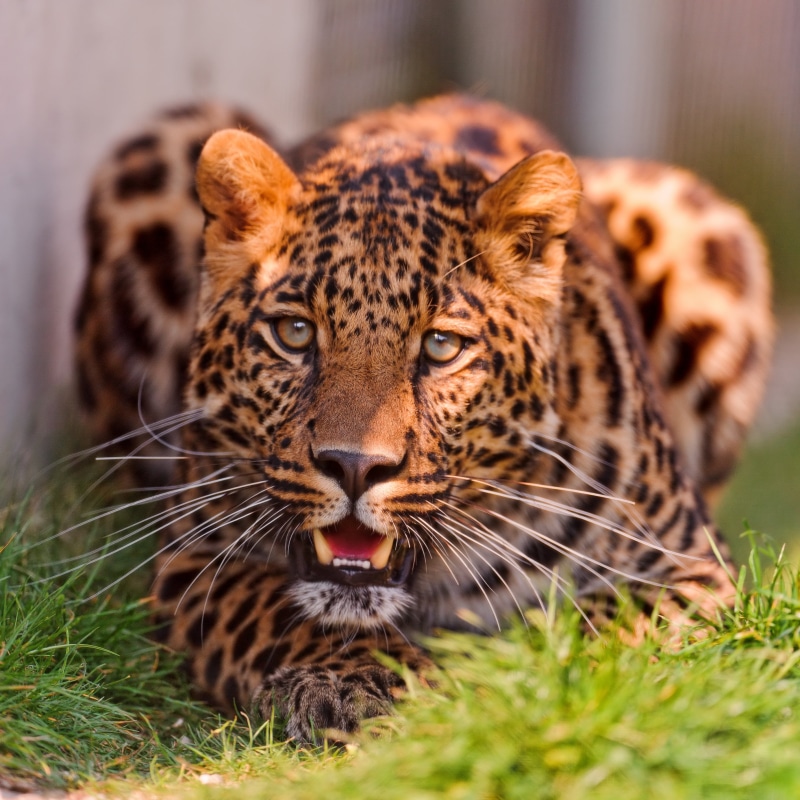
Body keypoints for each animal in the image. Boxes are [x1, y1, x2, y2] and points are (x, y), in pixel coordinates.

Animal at [74, 94, 772, 742]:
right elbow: (280, 610)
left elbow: (599, 628)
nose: (353, 467)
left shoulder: (688, 567)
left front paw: (511, 677)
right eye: (295, 334)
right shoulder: (195, 556)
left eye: (440, 346)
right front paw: (362, 683)